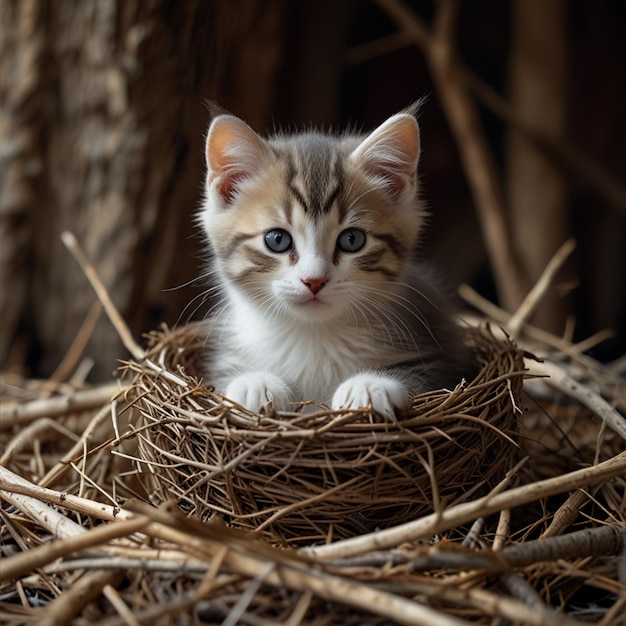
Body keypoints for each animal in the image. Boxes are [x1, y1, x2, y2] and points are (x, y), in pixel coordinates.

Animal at [199, 106, 472, 420]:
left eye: (352, 239)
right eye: (277, 239)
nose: (314, 280)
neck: (314, 335)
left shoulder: (443, 358)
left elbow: (427, 380)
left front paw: (369, 385)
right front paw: (255, 383)